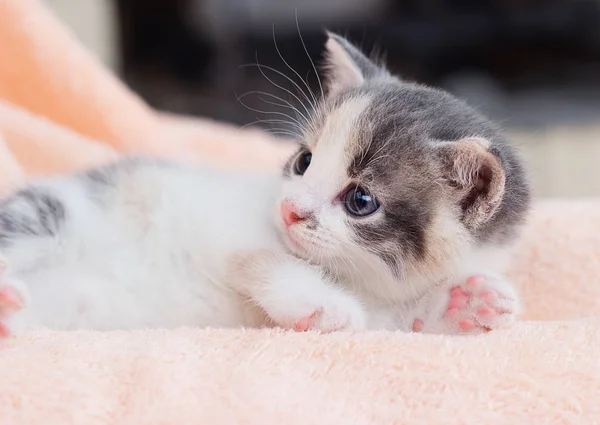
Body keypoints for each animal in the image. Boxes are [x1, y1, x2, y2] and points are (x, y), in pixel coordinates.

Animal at [0, 33, 528, 334]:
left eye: (360, 199)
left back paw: (10, 315)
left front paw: (463, 303)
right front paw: (321, 302)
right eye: (304, 161)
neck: (358, 279)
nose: (290, 210)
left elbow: (400, 323)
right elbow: (258, 257)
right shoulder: (218, 215)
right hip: (53, 212)